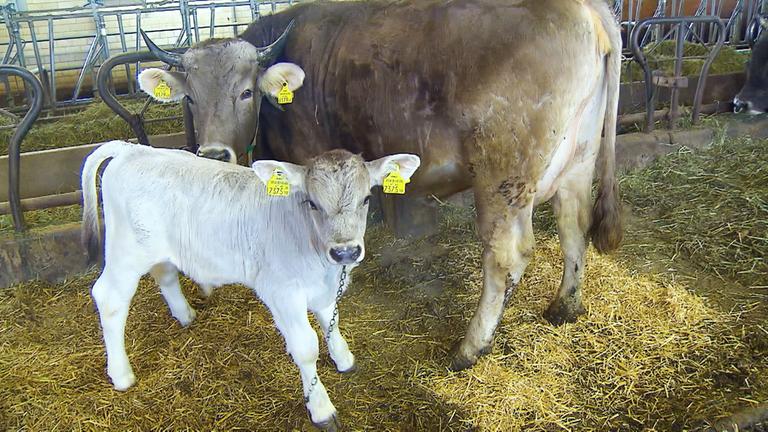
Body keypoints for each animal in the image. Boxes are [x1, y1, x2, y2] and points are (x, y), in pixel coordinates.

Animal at [142, 0, 624, 384]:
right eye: (189, 99)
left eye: (245, 92)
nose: (213, 153)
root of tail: (586, 9)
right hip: (578, 160)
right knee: (573, 225)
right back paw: (565, 307)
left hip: (502, 176)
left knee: (507, 256)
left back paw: (470, 348)